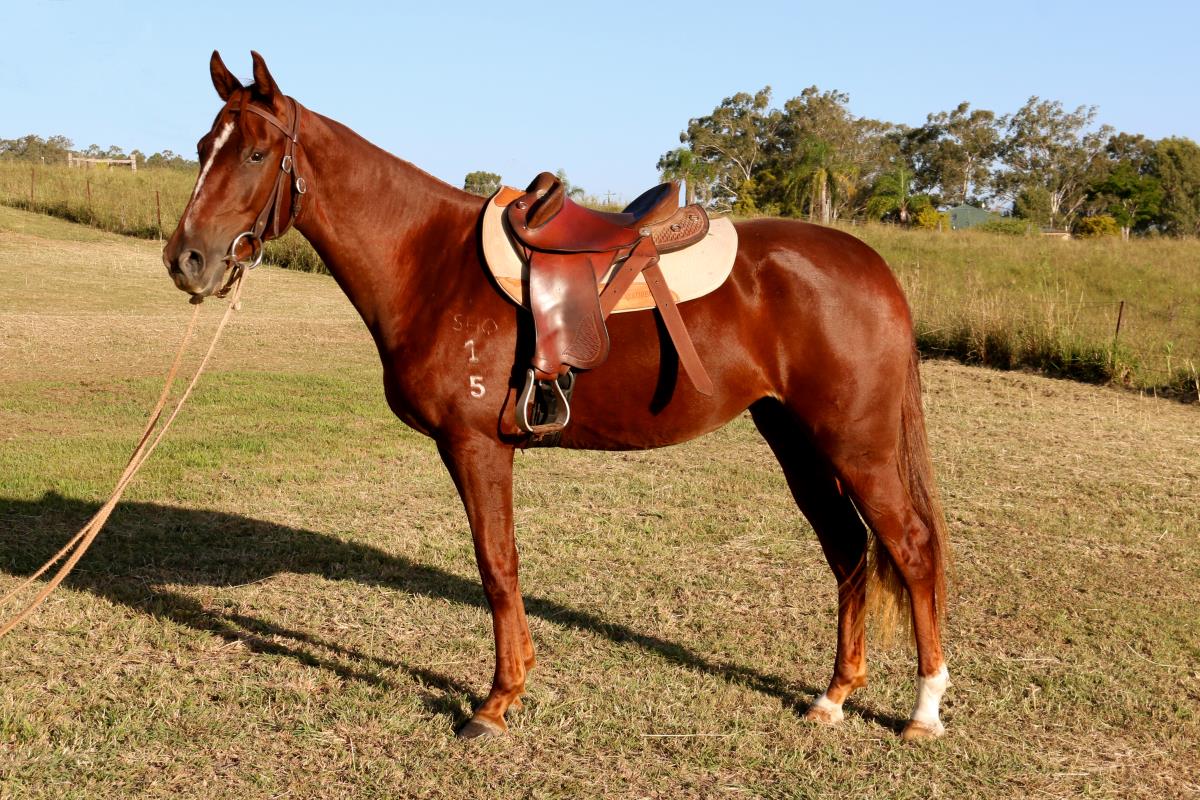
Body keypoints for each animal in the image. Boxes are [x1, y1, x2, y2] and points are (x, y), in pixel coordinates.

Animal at [162, 51, 951, 741]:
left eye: (256, 154)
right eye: (203, 145)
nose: (187, 260)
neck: (428, 260)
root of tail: (872, 267)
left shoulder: (477, 445)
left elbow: (496, 565)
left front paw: (497, 700)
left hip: (856, 444)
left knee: (910, 548)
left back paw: (923, 709)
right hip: (796, 438)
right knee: (847, 548)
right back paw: (833, 697)